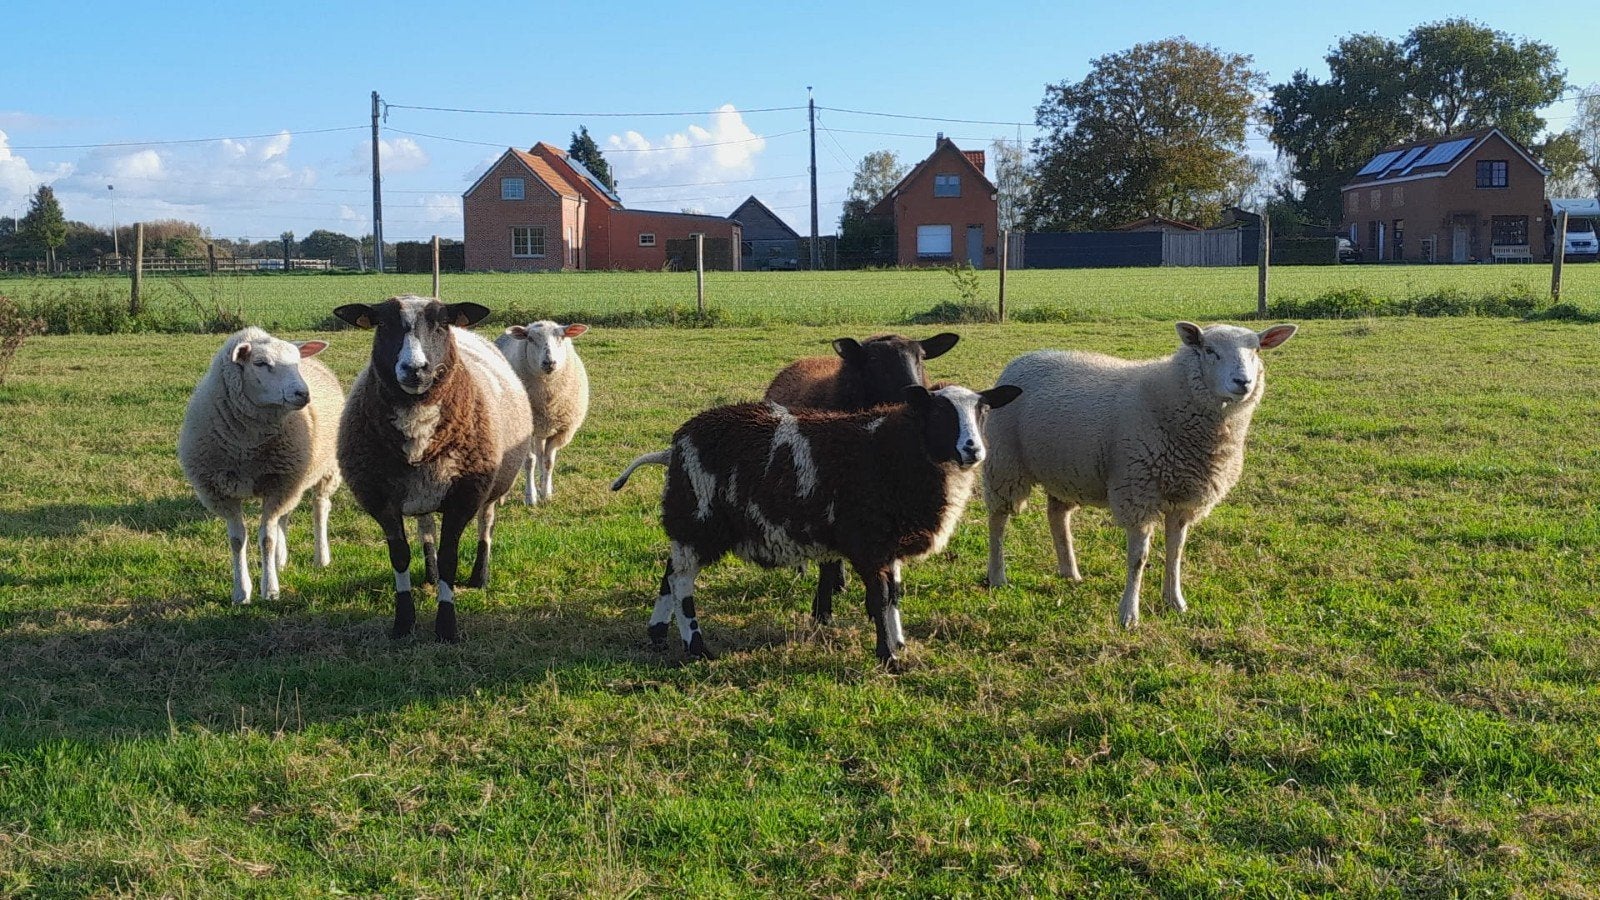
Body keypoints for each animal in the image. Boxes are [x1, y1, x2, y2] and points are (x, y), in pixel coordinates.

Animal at [177, 326, 343, 605]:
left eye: (296, 361)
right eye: (260, 363)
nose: (303, 394)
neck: (247, 447)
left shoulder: (278, 485)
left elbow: (267, 539)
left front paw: (270, 590)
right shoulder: (225, 492)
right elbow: (237, 540)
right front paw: (241, 591)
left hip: (324, 469)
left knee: (320, 508)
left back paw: (321, 557)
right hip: (293, 478)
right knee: (285, 516)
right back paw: (280, 561)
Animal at [333, 295, 533, 642]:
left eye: (441, 324)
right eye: (382, 324)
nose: (415, 369)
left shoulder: (463, 497)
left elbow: (450, 558)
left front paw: (446, 627)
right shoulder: (381, 500)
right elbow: (400, 556)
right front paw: (403, 623)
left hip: (493, 485)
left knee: (486, 524)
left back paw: (479, 576)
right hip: (421, 488)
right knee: (426, 528)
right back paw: (430, 572)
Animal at [494, 320, 590, 505]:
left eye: (562, 337)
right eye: (530, 339)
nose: (549, 362)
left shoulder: (561, 430)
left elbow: (548, 462)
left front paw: (546, 494)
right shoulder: (526, 430)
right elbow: (529, 462)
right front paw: (530, 497)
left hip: (541, 429)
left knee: (541, 454)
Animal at [611, 382, 1021, 669]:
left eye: (983, 410)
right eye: (939, 413)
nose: (973, 450)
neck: (895, 449)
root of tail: (676, 445)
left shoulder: (887, 542)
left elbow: (893, 595)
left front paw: (898, 643)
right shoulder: (866, 540)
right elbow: (879, 598)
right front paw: (888, 658)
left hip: (690, 523)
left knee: (669, 571)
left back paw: (658, 635)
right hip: (701, 520)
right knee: (682, 581)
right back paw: (696, 647)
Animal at [982, 322, 1297, 628]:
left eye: (1256, 350)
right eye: (1209, 350)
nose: (1243, 382)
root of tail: (1022, 359)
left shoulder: (1184, 499)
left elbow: (1176, 552)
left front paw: (1175, 602)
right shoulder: (1138, 492)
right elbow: (1138, 559)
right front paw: (1129, 615)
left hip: (1065, 470)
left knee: (1057, 515)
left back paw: (1070, 572)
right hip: (1005, 462)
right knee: (998, 519)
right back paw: (998, 576)